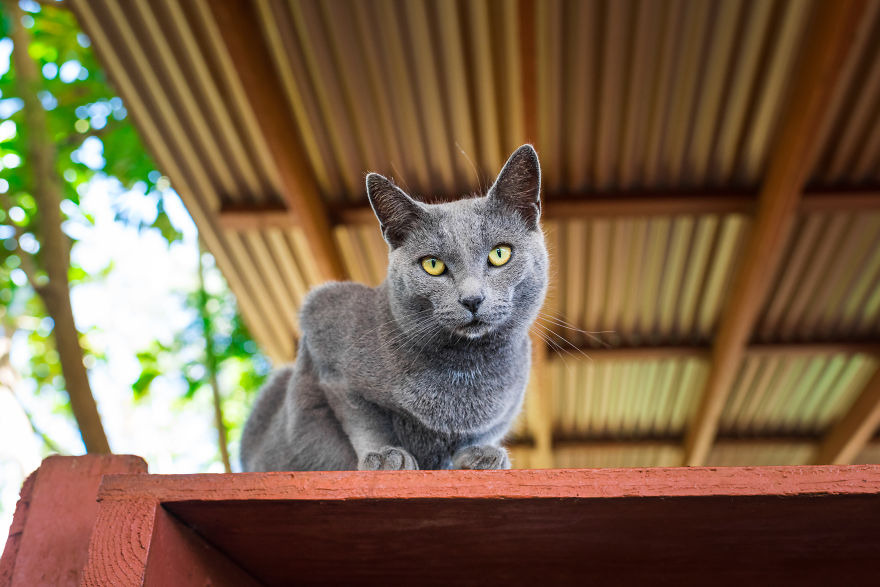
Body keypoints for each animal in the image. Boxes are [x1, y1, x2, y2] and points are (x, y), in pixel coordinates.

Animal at [237, 147, 548, 474]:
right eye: (432, 265)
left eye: (500, 254)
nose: (472, 299)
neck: (466, 367)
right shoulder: (324, 327)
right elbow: (363, 419)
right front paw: (385, 456)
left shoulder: (505, 409)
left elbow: (480, 432)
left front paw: (479, 455)